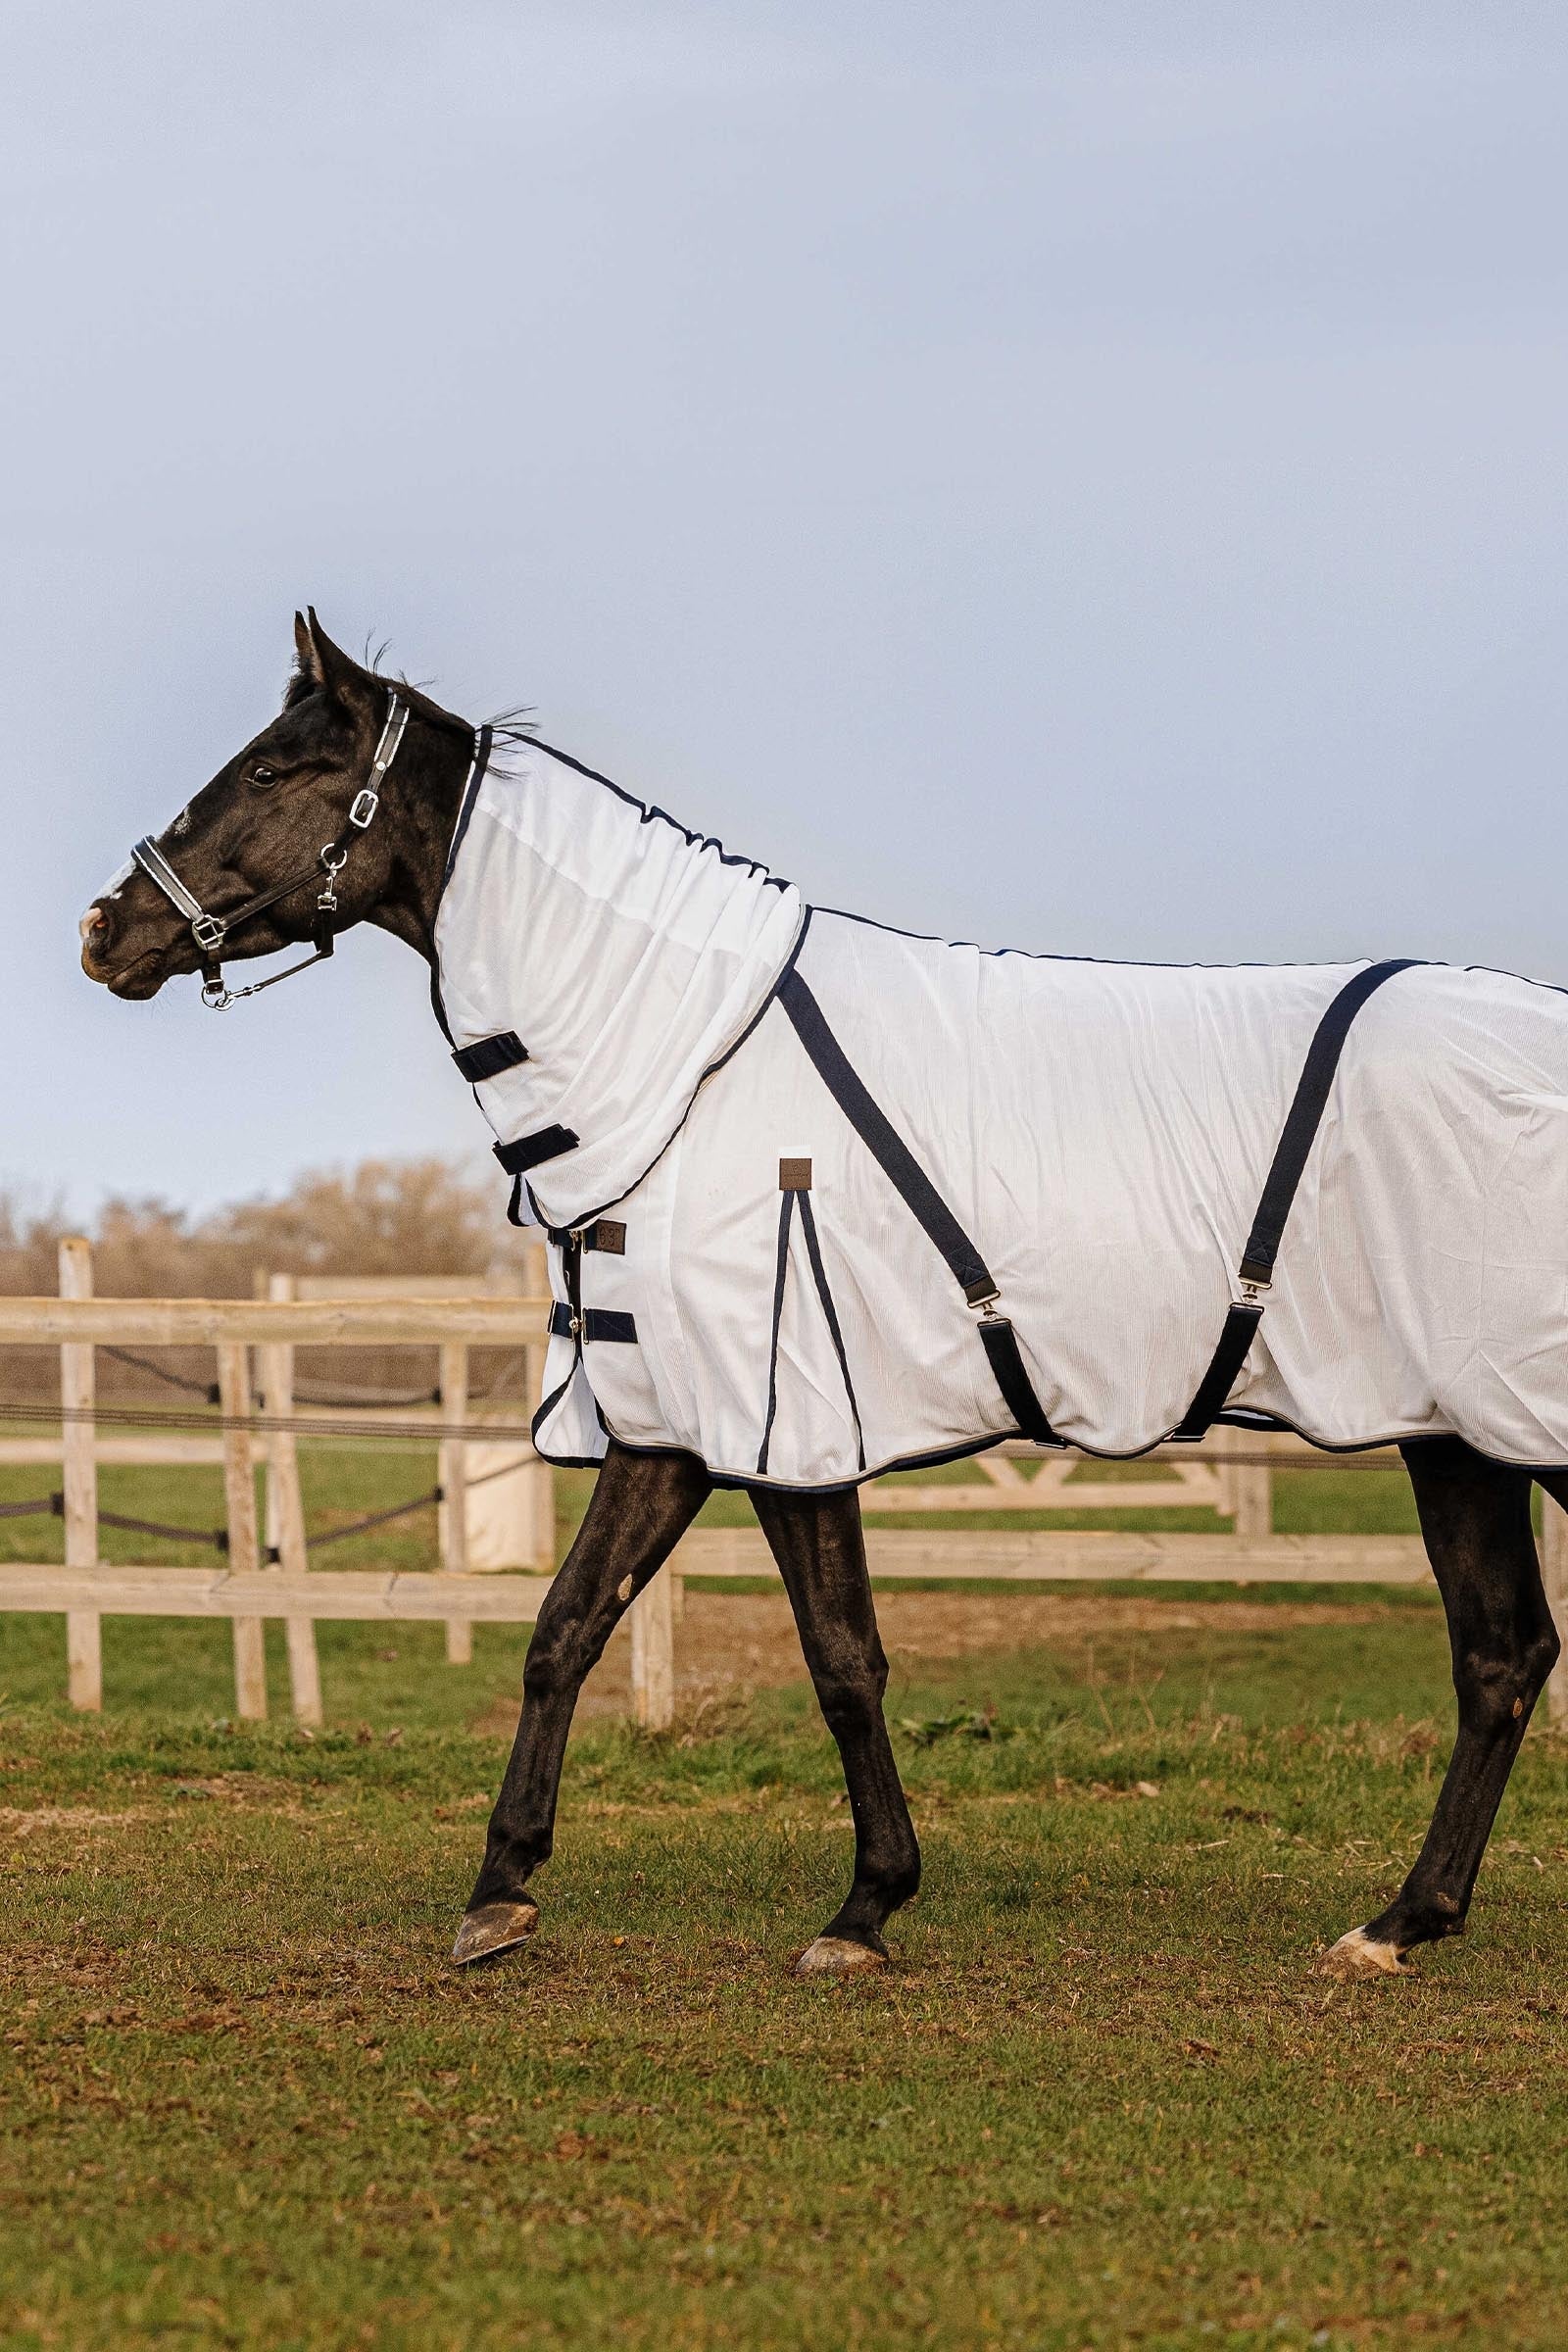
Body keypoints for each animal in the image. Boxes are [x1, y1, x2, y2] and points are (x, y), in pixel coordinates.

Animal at [80, 609, 1566, 1982]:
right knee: (1502, 1660)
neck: (691, 1065)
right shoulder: (670, 1423)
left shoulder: (786, 1422)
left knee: (1501, 1656)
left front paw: (863, 1909)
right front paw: (501, 1892)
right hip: (1455, 1433)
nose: (106, 930)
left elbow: (843, 1662)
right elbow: (566, 1630)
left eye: (272, 769)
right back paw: (1402, 1922)